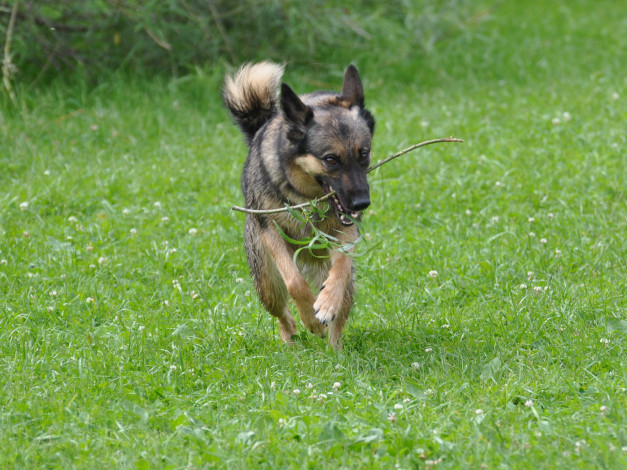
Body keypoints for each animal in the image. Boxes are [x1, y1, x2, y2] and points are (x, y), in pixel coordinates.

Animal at [223, 61, 376, 348]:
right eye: (330, 160)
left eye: (364, 154)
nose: (362, 204)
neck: (306, 197)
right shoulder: (270, 231)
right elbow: (294, 282)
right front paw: (311, 320)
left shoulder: (345, 232)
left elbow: (341, 266)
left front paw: (325, 304)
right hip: (266, 283)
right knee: (282, 315)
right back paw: (290, 342)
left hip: (344, 286)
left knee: (337, 322)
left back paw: (334, 350)